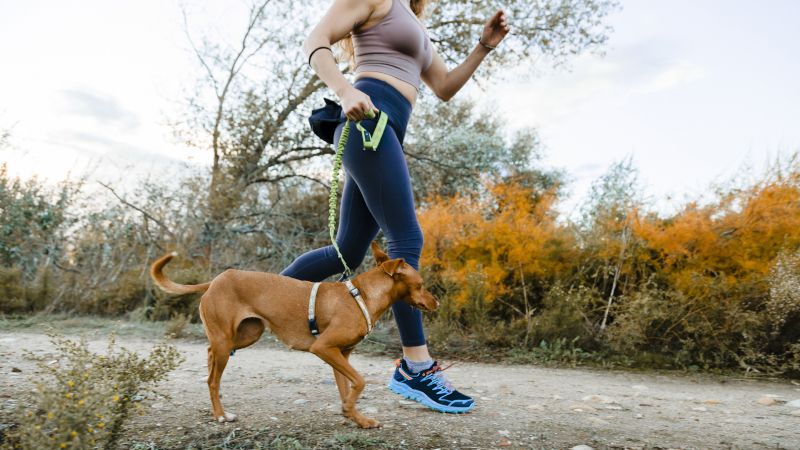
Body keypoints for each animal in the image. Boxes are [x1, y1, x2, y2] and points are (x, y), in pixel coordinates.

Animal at [148, 241, 438, 428]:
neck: (363, 297)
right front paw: (352, 412)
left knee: (209, 356)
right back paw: (221, 415)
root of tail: (216, 279)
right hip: (225, 341)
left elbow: (347, 388)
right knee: (212, 380)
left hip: (245, 335)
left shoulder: (340, 355)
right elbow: (360, 381)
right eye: (421, 284)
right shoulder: (323, 348)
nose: (435, 302)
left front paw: (355, 417)